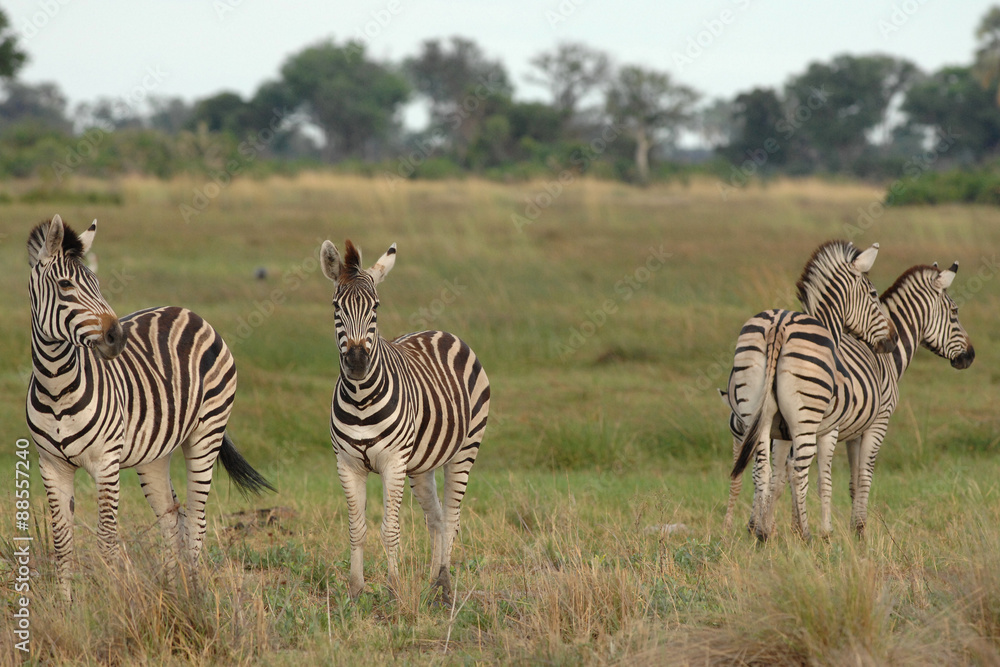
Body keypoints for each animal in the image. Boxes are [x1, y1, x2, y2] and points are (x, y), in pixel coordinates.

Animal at [26, 216, 274, 602]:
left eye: (97, 283)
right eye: (65, 285)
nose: (116, 338)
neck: (56, 388)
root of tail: (188, 312)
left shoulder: (106, 463)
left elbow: (107, 540)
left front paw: (111, 604)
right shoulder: (51, 466)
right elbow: (62, 542)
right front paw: (65, 606)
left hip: (207, 433)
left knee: (197, 520)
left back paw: (195, 596)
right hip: (154, 454)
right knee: (173, 519)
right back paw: (174, 595)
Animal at [320, 239, 490, 603]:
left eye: (375, 307)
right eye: (336, 306)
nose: (357, 362)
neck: (360, 397)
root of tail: (440, 331)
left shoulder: (393, 462)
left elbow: (390, 528)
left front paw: (394, 589)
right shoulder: (347, 464)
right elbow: (357, 528)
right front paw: (356, 591)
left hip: (465, 449)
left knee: (452, 515)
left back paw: (445, 583)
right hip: (421, 464)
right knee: (436, 517)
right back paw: (432, 581)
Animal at [721, 240, 897, 540]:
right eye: (873, 294)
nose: (892, 339)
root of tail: (778, 325)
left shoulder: (780, 433)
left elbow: (777, 478)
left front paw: (765, 526)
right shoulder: (827, 429)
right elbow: (818, 479)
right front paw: (820, 531)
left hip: (752, 413)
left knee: (761, 469)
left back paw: (762, 534)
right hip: (805, 417)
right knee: (799, 471)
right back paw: (806, 534)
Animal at [764, 262, 974, 537]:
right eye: (954, 312)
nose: (971, 355)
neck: (889, 357)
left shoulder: (856, 431)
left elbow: (854, 481)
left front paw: (853, 528)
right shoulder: (879, 422)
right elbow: (865, 475)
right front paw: (860, 529)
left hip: (783, 423)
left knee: (776, 472)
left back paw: (771, 529)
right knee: (794, 469)